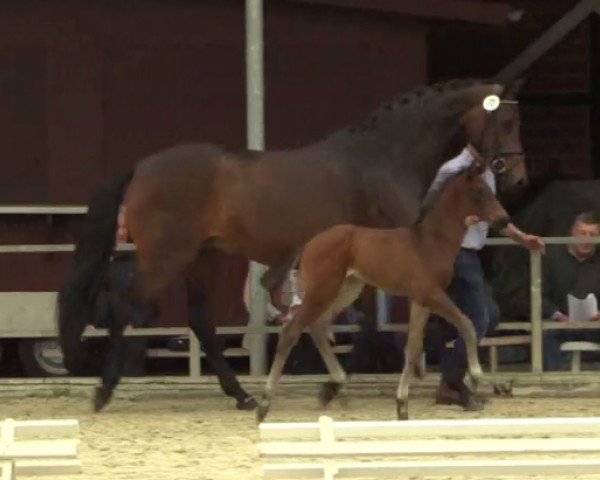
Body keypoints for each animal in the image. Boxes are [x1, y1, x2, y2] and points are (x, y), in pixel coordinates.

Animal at [258, 160, 510, 420]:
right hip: (323, 290)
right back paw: (264, 405)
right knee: (291, 330)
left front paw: (402, 406)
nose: (504, 219)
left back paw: (333, 386)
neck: (431, 242)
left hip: (347, 289)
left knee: (317, 326)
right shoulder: (431, 294)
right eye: (479, 192)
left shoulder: (419, 301)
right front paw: (476, 376)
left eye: (490, 191)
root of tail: (309, 243)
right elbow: (467, 324)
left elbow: (413, 346)